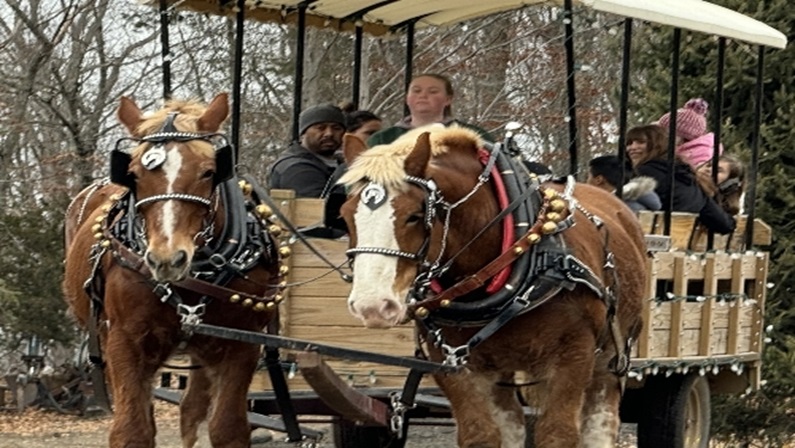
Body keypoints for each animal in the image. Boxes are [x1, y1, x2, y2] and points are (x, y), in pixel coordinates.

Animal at [63, 93, 284, 446]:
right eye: (134, 174)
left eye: (208, 172)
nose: (167, 258)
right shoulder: (124, 342)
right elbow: (133, 431)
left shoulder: (243, 345)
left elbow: (227, 428)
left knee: (191, 411)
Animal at [340, 127, 648, 448]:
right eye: (345, 216)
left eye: (414, 215)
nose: (372, 306)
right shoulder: (452, 363)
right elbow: (480, 434)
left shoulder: (574, 356)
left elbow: (557, 434)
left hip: (611, 356)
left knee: (600, 424)